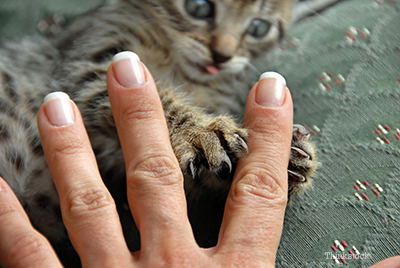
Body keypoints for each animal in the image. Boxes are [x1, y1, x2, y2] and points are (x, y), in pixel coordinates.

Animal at [0, 0, 316, 242]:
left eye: (258, 28)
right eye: (198, 7)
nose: (221, 56)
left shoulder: (114, 158)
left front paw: (290, 158)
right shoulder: (90, 68)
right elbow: (160, 101)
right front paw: (201, 131)